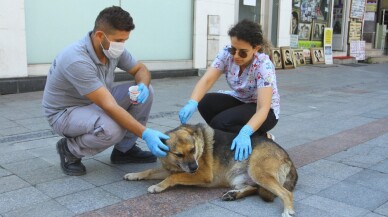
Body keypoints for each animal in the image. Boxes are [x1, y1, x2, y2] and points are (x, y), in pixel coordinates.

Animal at [124, 124, 298, 217]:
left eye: (193, 150)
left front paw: (158, 186)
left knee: (285, 193)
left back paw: (288, 210)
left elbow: (173, 178)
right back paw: (233, 195)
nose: (194, 167)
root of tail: (287, 156)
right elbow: (149, 171)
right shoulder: (172, 169)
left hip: (258, 171)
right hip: (240, 179)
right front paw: (134, 175)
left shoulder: (202, 175)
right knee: (253, 188)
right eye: (179, 154)